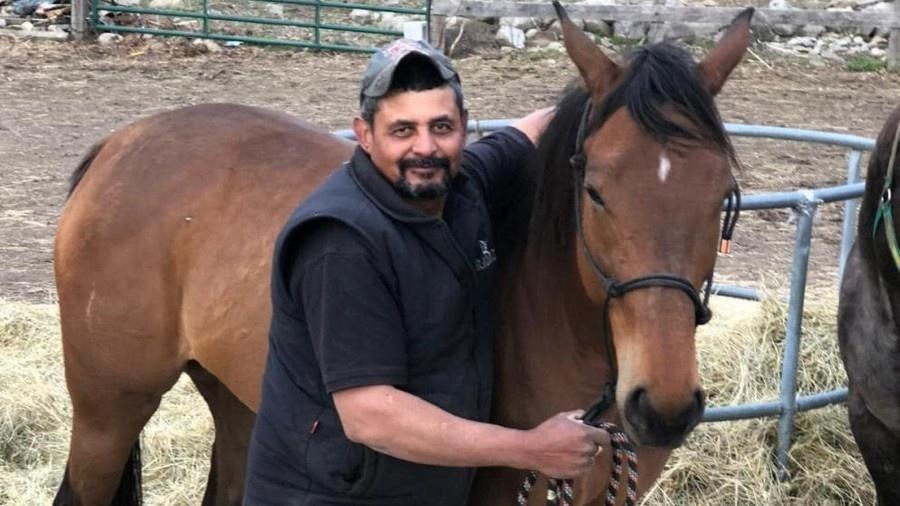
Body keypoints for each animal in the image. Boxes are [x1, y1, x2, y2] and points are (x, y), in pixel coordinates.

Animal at [51, 4, 752, 506]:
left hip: (237, 402)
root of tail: (122, 142)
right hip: (108, 413)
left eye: (722, 193)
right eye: (595, 190)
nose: (663, 406)